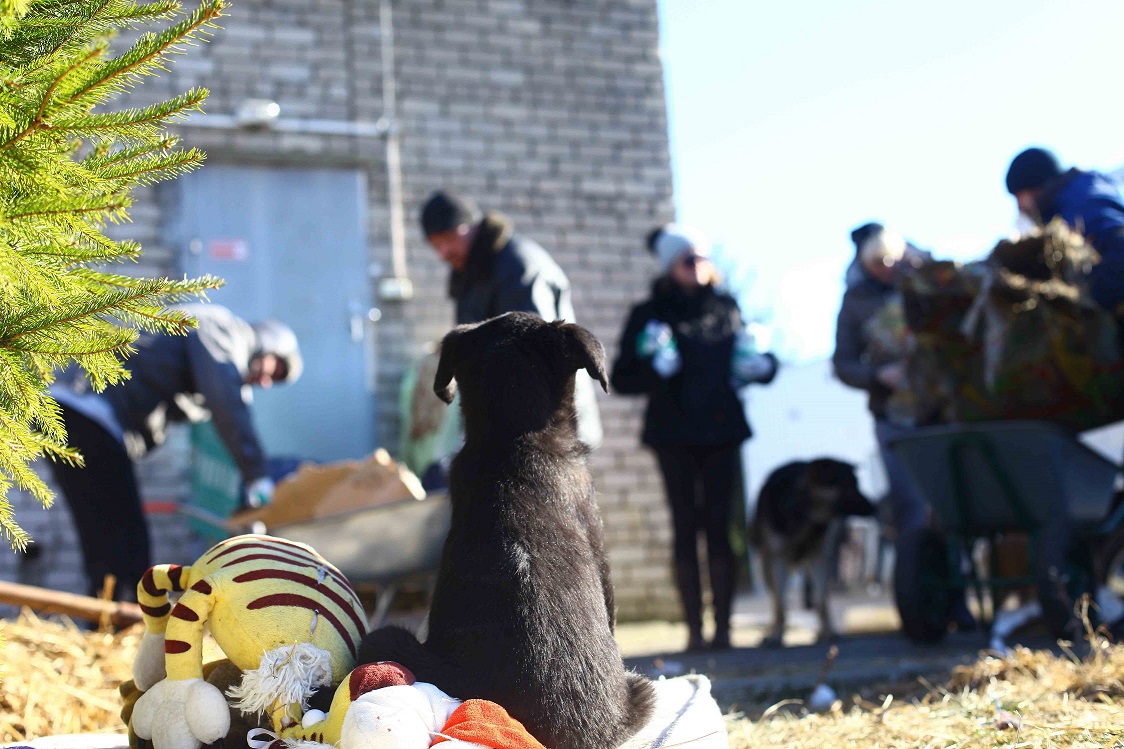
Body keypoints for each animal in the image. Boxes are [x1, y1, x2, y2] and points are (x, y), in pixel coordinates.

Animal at [746, 458, 876, 643]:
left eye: (856, 484)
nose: (875, 506)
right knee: (775, 598)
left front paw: (828, 632)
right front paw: (776, 635)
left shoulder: (819, 557)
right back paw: (772, 628)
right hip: (766, 567)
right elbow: (781, 605)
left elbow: (821, 601)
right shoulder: (778, 560)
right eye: (847, 485)